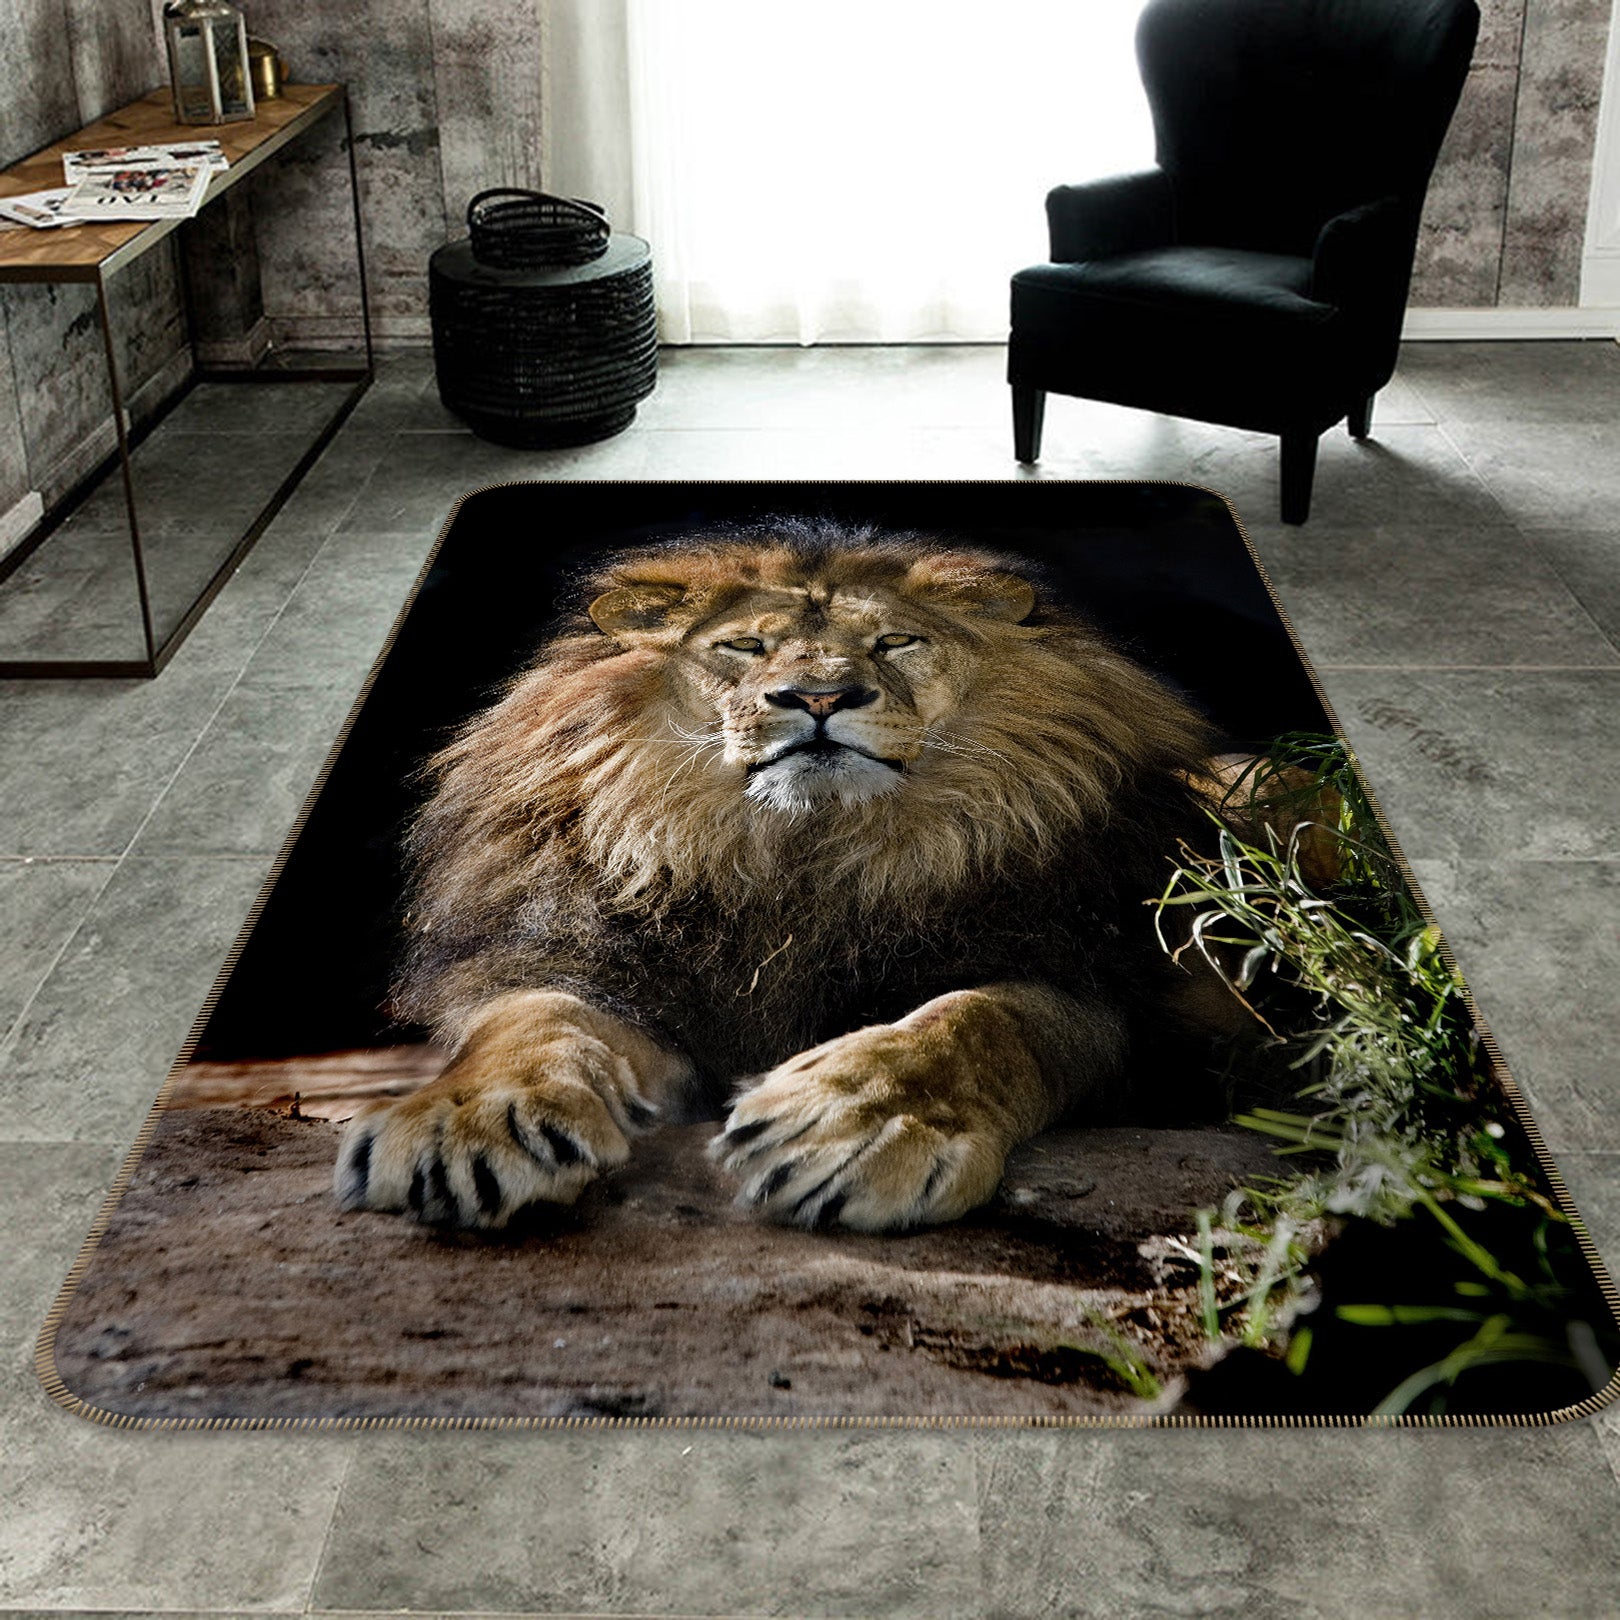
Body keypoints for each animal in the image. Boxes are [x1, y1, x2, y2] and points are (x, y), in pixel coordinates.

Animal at [333, 518, 1225, 1234]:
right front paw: (465, 1120)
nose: (820, 697)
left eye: (894, 644)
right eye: (745, 647)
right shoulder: (602, 969)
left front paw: (853, 1123)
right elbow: (532, 1020)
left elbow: (974, 1022)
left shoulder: (1091, 987)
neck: (801, 858)